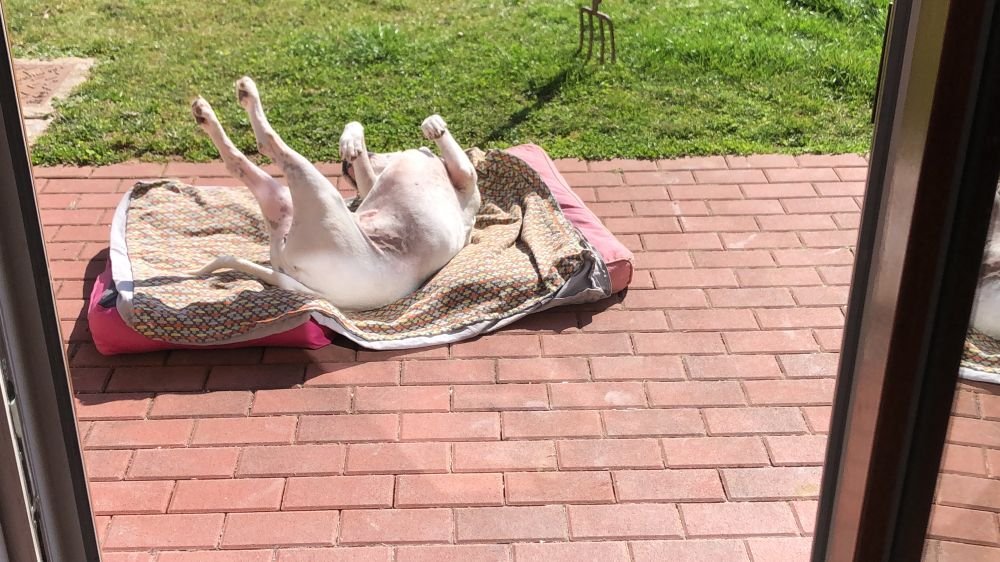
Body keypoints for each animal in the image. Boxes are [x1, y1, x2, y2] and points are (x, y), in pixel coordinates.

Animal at [188, 76, 482, 311]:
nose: (344, 164)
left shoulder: (465, 174)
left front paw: (433, 125)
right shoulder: (371, 185)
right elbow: (359, 131)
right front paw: (351, 140)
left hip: (318, 194)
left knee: (264, 143)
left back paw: (242, 96)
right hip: (286, 199)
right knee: (239, 161)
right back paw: (208, 114)